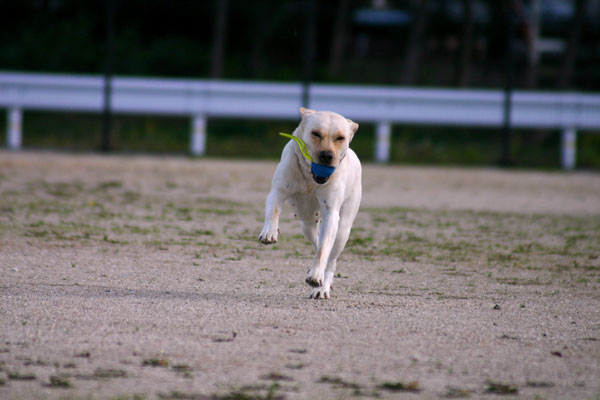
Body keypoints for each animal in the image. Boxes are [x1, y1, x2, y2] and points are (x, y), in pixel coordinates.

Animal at [258, 108, 360, 298]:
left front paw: (316, 277)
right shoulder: (278, 191)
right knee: (315, 240)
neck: (310, 177)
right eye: (316, 133)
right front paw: (269, 232)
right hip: (306, 225)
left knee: (330, 258)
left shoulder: (331, 213)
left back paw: (323, 286)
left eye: (340, 138)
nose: (327, 155)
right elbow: (273, 210)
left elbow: (323, 250)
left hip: (343, 230)